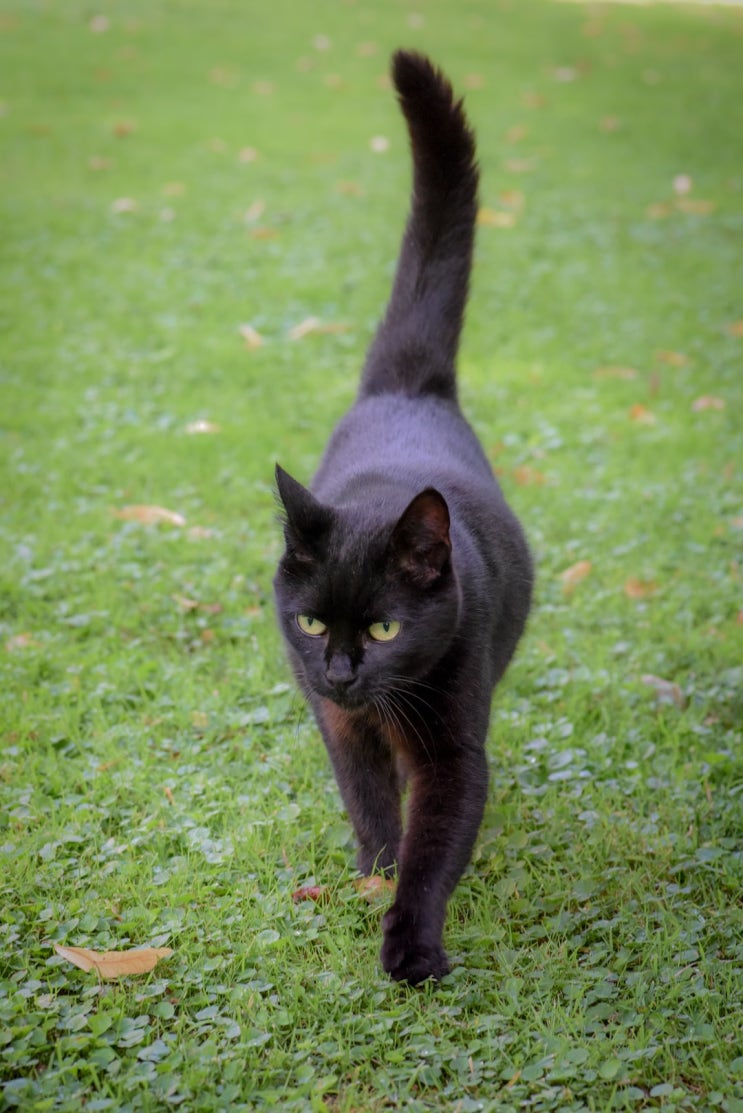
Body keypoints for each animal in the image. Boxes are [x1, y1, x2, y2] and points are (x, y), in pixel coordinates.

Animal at [272, 47, 533, 983]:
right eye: (312, 622)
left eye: (383, 629)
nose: (341, 669)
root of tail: (409, 388)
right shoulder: (341, 727)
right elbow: (371, 804)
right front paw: (373, 871)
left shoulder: (453, 748)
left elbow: (435, 841)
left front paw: (411, 941)